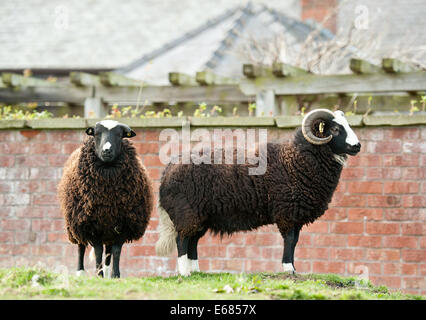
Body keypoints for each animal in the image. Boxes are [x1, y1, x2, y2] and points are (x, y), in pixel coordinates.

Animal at [58, 120, 154, 278]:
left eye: (120, 135)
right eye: (96, 133)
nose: (107, 150)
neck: (108, 196)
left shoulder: (123, 224)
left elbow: (116, 251)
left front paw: (115, 275)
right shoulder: (91, 225)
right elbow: (98, 251)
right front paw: (99, 275)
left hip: (108, 229)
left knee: (108, 251)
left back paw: (108, 273)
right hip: (76, 222)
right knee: (81, 246)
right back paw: (80, 272)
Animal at [155, 109, 362, 276]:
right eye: (335, 129)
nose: (357, 146)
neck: (295, 160)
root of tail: (167, 172)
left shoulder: (295, 214)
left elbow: (295, 241)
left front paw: (293, 268)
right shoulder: (287, 212)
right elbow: (290, 240)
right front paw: (289, 269)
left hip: (200, 216)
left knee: (192, 241)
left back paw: (196, 271)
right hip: (187, 213)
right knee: (182, 240)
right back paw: (184, 273)